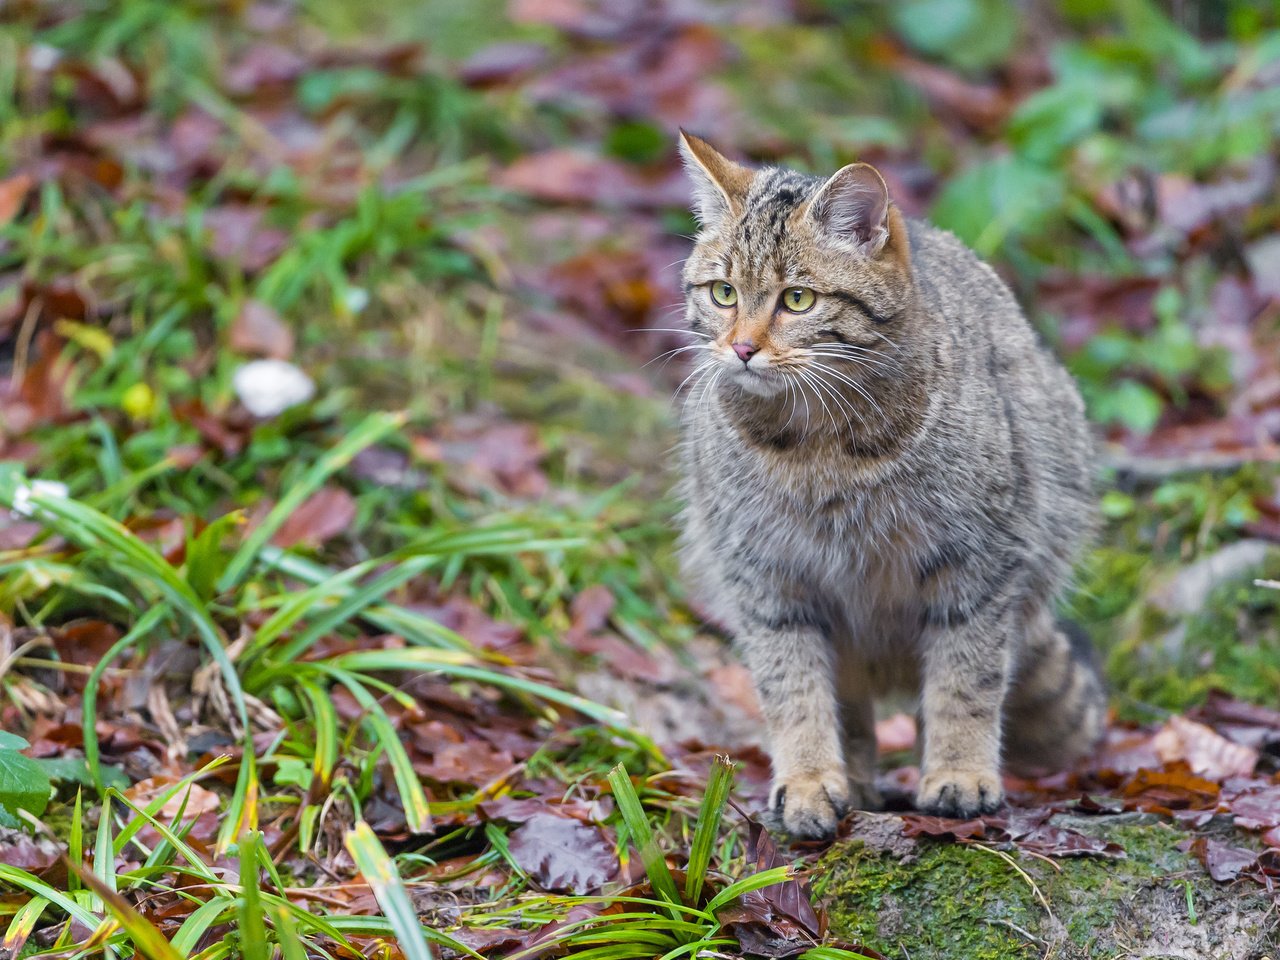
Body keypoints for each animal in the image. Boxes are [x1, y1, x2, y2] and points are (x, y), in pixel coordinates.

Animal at [675, 131, 1105, 839]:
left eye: (798, 300)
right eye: (722, 292)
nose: (740, 348)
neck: (816, 446)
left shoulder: (979, 566)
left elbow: (966, 680)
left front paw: (959, 773)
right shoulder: (767, 578)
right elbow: (792, 690)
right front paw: (809, 781)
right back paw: (851, 782)